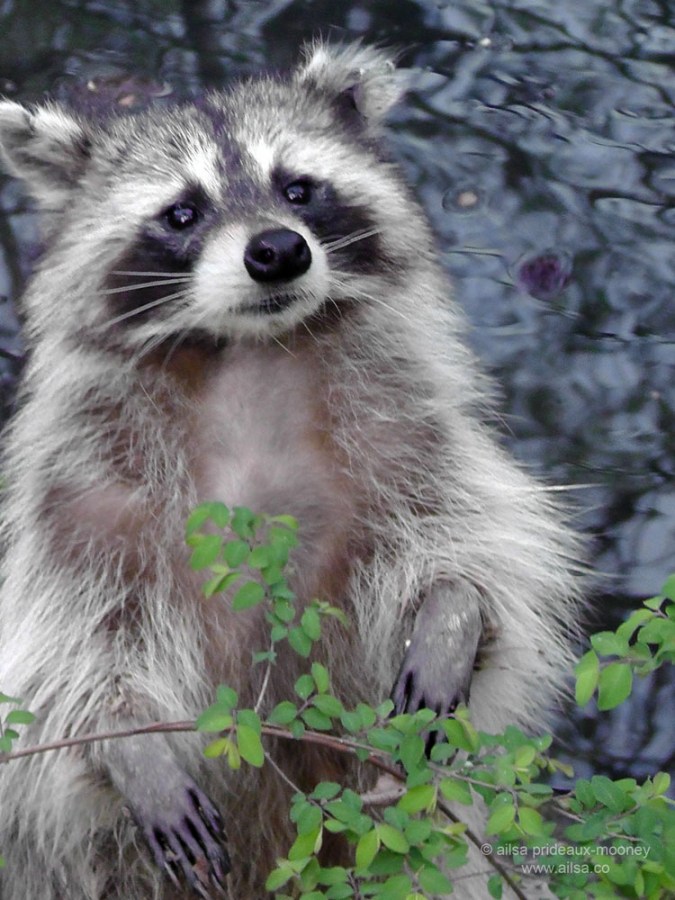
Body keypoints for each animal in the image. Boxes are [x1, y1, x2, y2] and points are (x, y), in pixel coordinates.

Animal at [0, 43, 583, 899]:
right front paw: (127, 741)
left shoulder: (405, 431)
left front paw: (450, 615)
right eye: (182, 212)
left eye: (298, 188)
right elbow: (71, 651)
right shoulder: (82, 491)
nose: (277, 250)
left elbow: (474, 543)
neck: (247, 355)